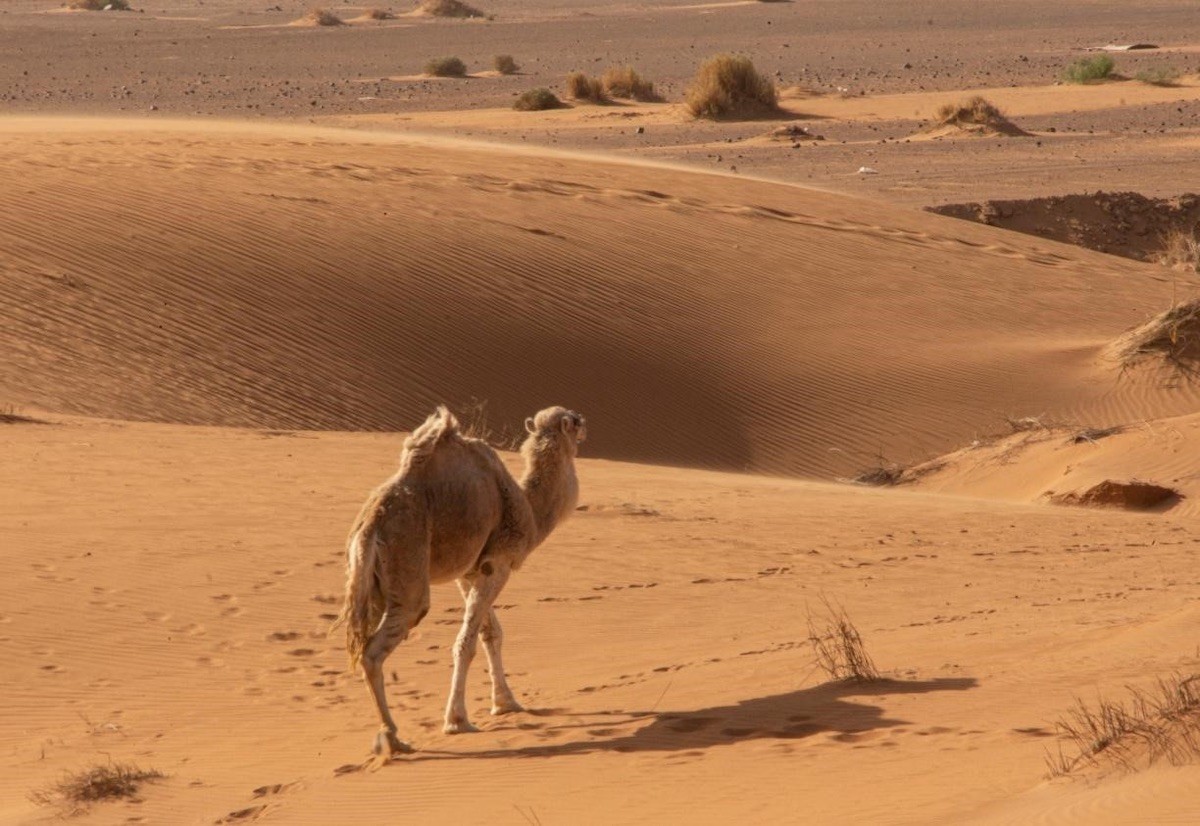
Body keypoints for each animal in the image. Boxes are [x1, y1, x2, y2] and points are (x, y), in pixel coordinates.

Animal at [333, 405, 585, 753]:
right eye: (572, 421)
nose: (584, 422)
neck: (531, 513)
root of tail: (369, 528)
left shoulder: (470, 570)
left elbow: (491, 633)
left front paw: (505, 703)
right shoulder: (499, 563)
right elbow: (466, 642)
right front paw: (457, 720)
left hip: (369, 585)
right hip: (407, 567)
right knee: (374, 651)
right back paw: (393, 736)